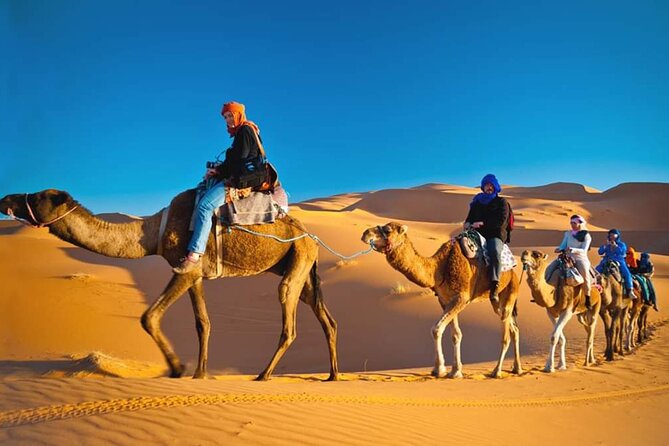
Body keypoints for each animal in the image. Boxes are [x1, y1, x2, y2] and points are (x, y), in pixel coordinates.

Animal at [0, 189, 339, 380]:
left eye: (39, 196)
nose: (6, 199)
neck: (152, 233)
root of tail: (311, 236)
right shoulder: (196, 273)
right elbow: (203, 322)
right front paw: (200, 374)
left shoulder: (184, 268)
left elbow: (148, 316)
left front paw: (177, 369)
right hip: (303, 268)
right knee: (326, 318)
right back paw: (333, 376)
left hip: (297, 260)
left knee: (289, 320)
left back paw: (263, 375)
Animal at [361, 222, 522, 379]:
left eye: (388, 230)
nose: (365, 234)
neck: (439, 268)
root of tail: (513, 272)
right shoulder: (446, 300)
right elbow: (456, 334)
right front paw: (455, 370)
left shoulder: (461, 298)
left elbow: (436, 329)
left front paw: (440, 369)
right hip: (496, 302)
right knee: (513, 329)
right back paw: (517, 368)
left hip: (510, 291)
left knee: (506, 335)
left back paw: (497, 371)